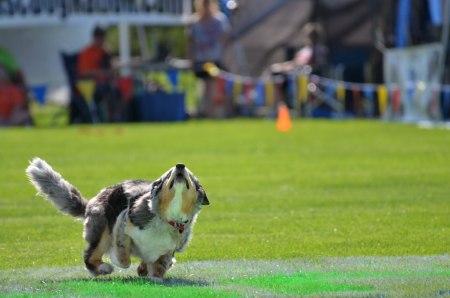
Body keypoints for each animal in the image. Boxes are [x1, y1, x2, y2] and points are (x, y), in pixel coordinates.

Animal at [27, 158, 210, 282]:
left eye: (190, 176)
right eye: (168, 175)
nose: (180, 165)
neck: (165, 216)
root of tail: (93, 200)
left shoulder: (170, 248)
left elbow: (160, 263)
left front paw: (154, 275)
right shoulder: (123, 224)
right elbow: (124, 258)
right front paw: (120, 261)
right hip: (101, 228)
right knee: (90, 255)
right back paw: (104, 267)